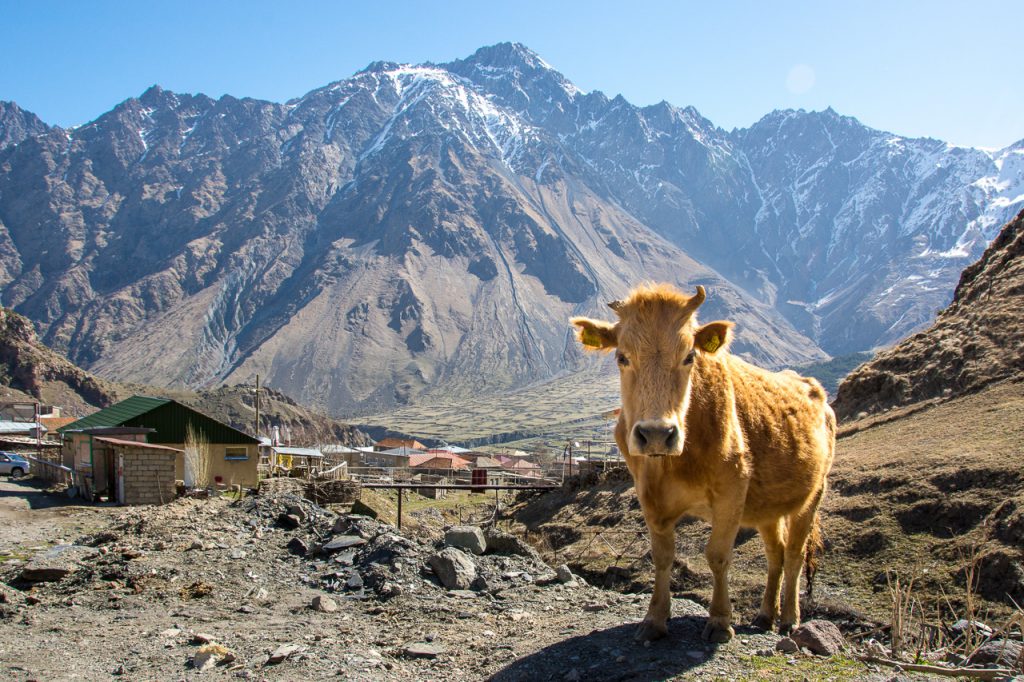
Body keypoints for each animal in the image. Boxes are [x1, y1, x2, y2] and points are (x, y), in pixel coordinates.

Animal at [571, 283, 835, 644]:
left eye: (689, 357)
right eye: (622, 357)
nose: (657, 434)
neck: (673, 465)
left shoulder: (731, 492)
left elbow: (718, 555)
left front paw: (720, 621)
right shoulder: (649, 495)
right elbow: (662, 557)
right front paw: (654, 620)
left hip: (812, 496)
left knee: (794, 553)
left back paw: (789, 619)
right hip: (769, 506)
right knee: (776, 553)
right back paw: (766, 615)